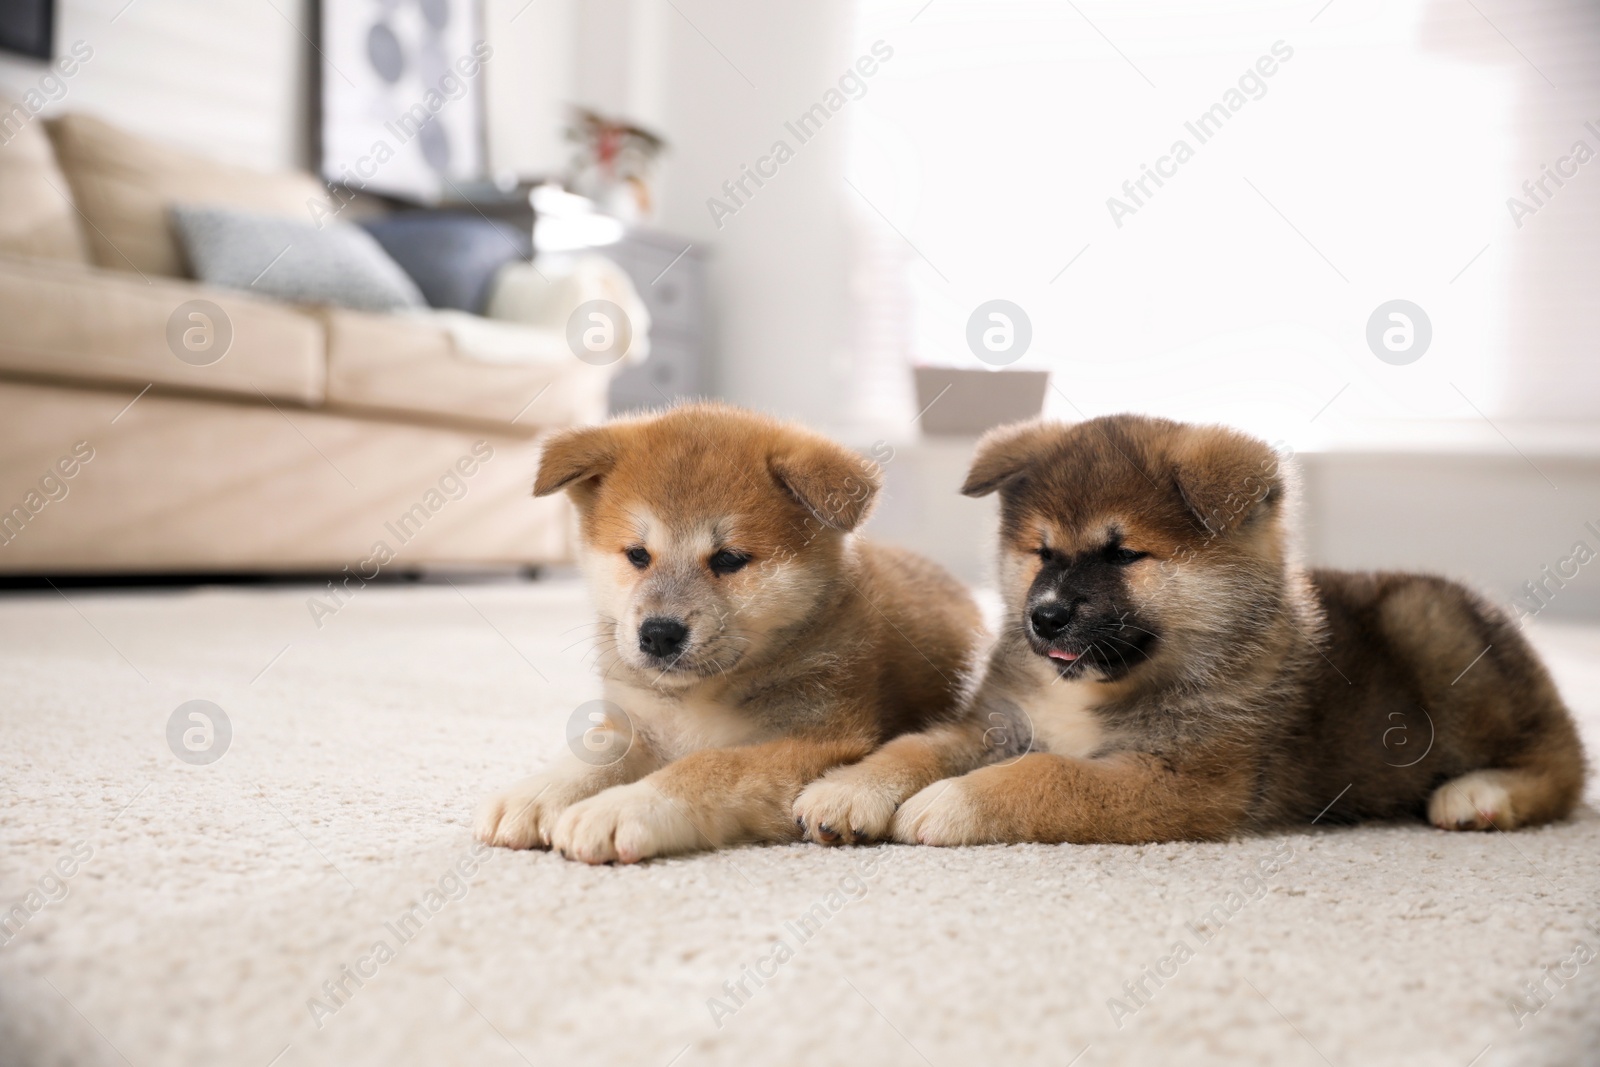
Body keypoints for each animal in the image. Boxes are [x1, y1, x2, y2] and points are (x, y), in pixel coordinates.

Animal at [467, 404, 979, 863]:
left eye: (729, 559)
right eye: (637, 555)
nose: (658, 634)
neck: (699, 697)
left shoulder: (819, 741)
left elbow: (707, 765)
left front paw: (622, 807)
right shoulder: (636, 722)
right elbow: (595, 752)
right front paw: (536, 794)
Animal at [800, 412, 1587, 844]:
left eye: (1123, 554)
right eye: (1042, 552)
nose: (1043, 616)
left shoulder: (1183, 781)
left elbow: (1047, 774)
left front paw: (948, 802)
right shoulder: (996, 721)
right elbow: (913, 745)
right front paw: (850, 790)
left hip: (1429, 626)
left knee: (1564, 760)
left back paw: (1481, 793)